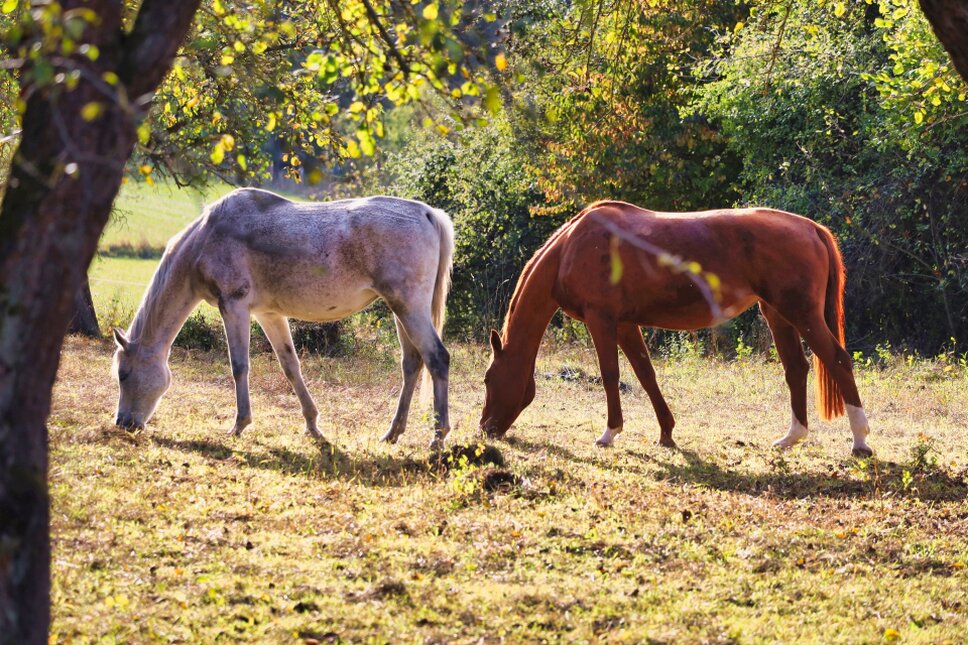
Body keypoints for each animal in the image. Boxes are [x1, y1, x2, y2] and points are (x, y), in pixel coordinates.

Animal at [112, 188, 454, 448]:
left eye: (123, 375)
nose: (123, 423)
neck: (207, 238)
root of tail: (427, 213)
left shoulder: (234, 306)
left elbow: (239, 366)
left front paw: (239, 425)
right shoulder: (268, 314)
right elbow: (290, 367)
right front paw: (313, 427)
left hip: (409, 308)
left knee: (437, 358)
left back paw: (437, 439)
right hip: (402, 310)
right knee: (412, 364)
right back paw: (392, 433)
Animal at [480, 200, 874, 457]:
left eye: (488, 379)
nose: (486, 429)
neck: (571, 250)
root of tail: (811, 228)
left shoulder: (602, 320)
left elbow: (610, 375)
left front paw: (609, 433)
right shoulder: (626, 325)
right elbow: (646, 375)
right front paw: (666, 433)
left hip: (801, 314)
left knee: (838, 361)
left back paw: (860, 441)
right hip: (777, 314)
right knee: (796, 369)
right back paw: (791, 438)